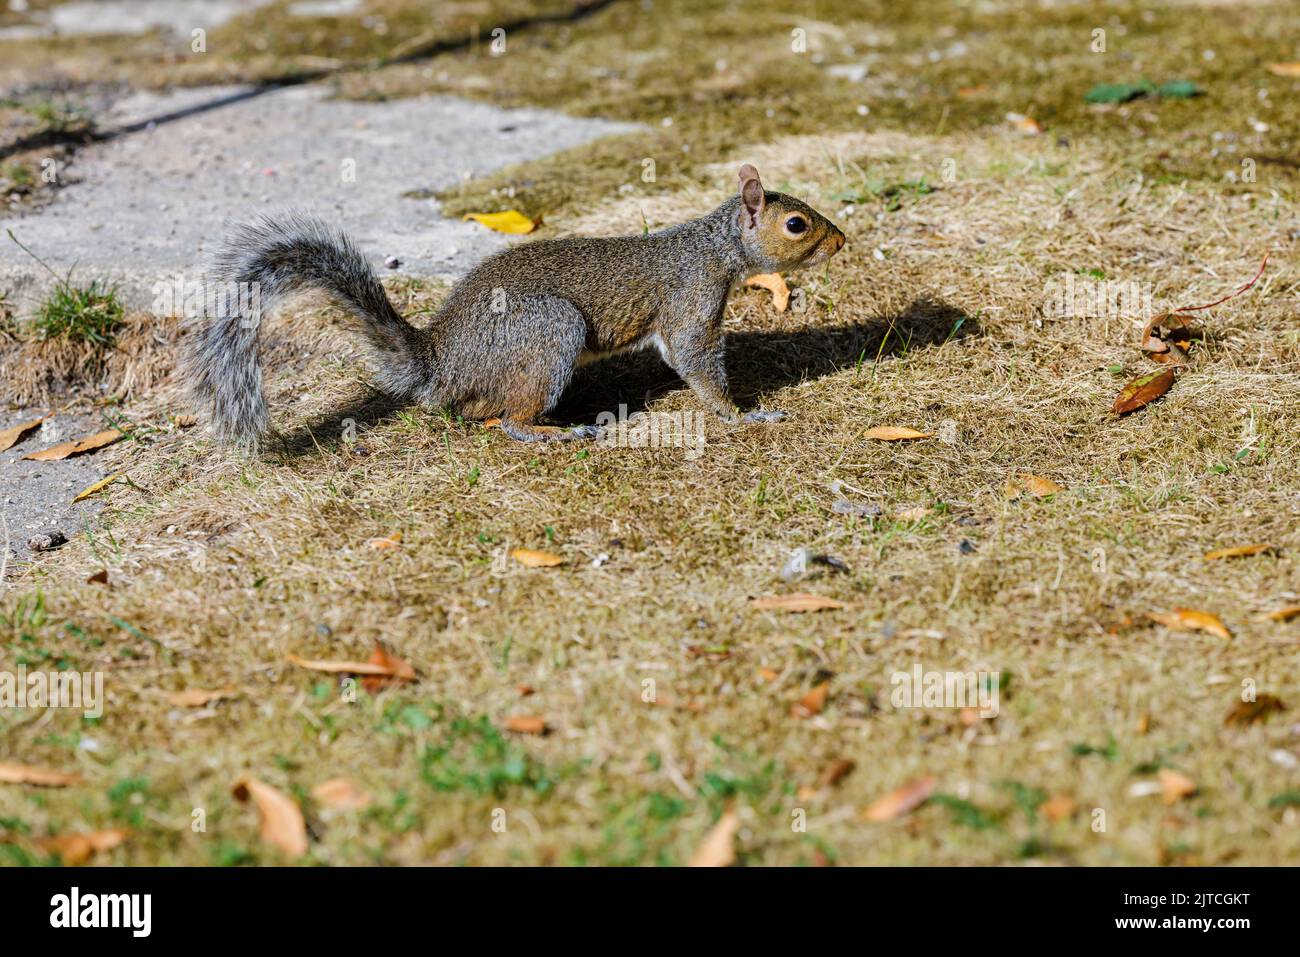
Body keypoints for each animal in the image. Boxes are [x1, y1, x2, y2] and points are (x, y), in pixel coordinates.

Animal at [186, 164, 845, 447]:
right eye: (796, 224)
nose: (842, 241)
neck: (712, 247)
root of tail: (438, 364)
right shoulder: (692, 299)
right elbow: (696, 363)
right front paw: (746, 415)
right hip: (549, 331)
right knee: (506, 419)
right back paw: (560, 430)